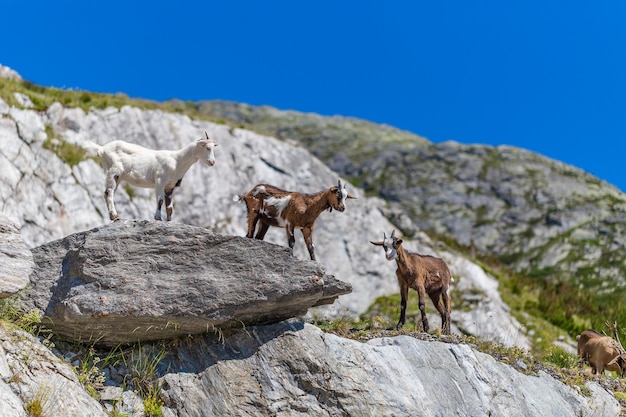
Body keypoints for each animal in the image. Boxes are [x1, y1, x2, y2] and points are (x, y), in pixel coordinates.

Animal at [82, 132, 217, 223]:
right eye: (207, 147)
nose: (213, 162)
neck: (177, 160)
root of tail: (102, 149)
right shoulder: (160, 181)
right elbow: (160, 200)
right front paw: (158, 218)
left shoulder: (170, 186)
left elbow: (170, 206)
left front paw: (169, 221)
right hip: (113, 171)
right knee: (109, 193)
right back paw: (115, 216)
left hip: (117, 176)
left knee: (107, 193)